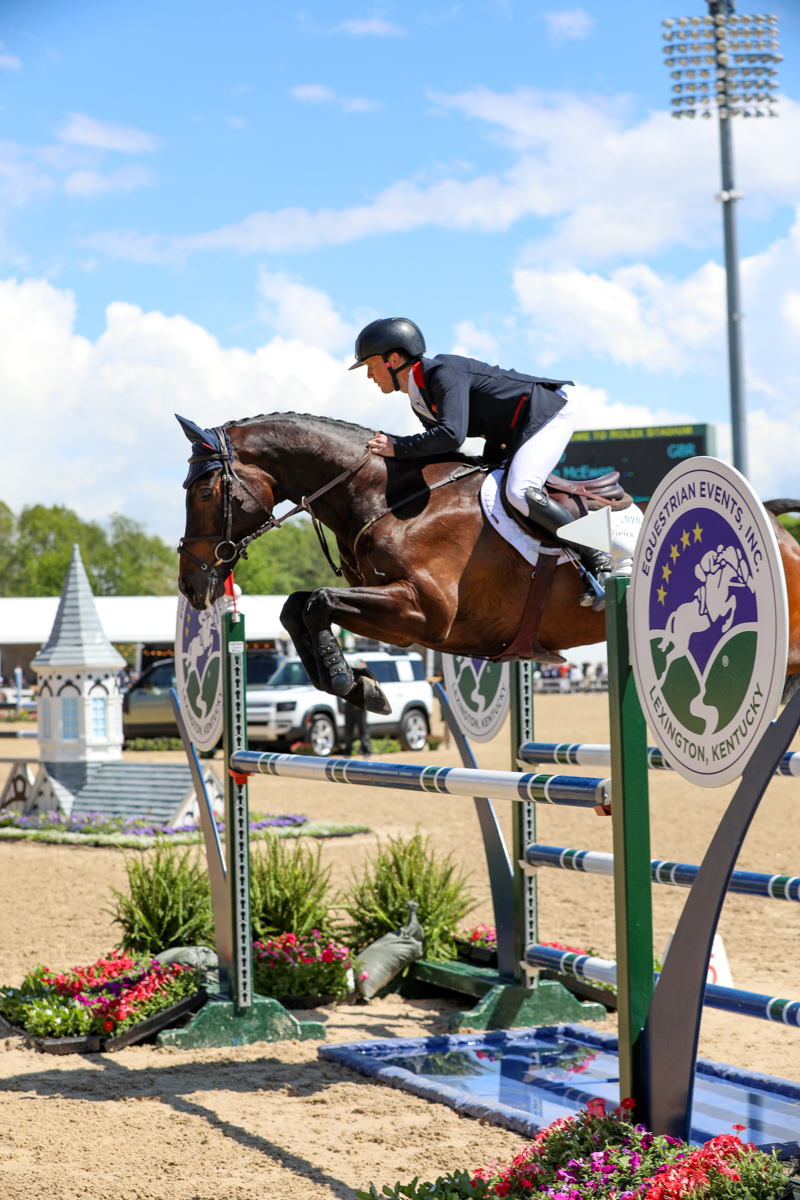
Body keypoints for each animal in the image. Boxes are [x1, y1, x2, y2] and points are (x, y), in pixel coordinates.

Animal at [176, 412, 800, 714]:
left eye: (204, 491)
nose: (190, 586)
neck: (390, 498)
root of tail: (775, 524)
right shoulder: (402, 618)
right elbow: (297, 607)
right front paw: (358, 686)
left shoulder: (423, 616)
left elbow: (315, 603)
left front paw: (357, 685)